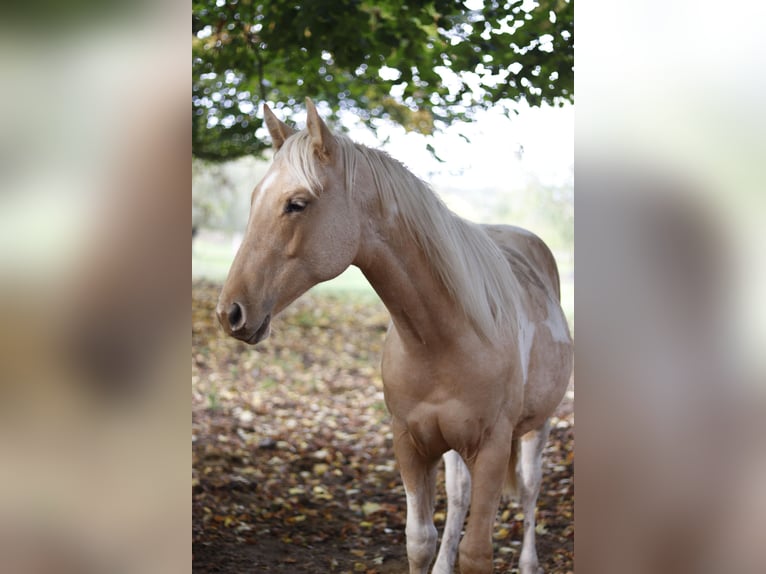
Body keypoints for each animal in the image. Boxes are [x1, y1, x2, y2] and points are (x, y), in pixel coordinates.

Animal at [219, 100, 572, 574]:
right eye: (256, 196)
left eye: (297, 203)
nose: (230, 312)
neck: (444, 338)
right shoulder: (410, 443)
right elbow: (420, 540)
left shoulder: (493, 448)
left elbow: (477, 553)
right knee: (458, 497)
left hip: (537, 429)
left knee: (531, 490)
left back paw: (530, 563)